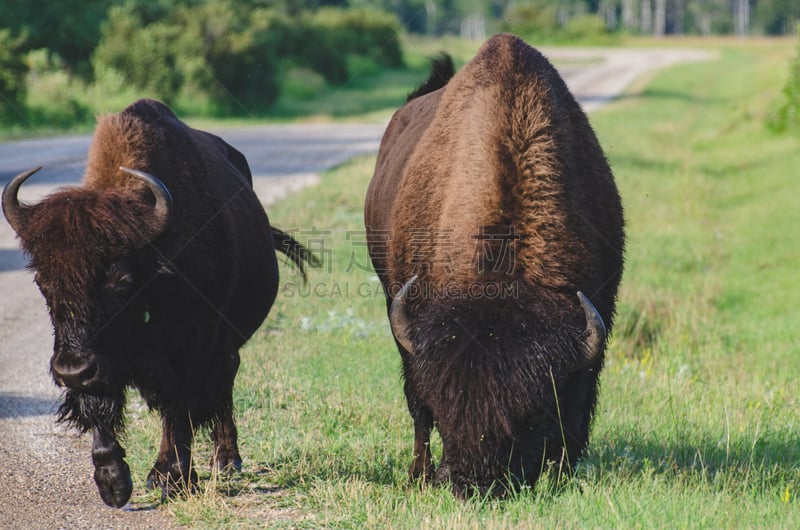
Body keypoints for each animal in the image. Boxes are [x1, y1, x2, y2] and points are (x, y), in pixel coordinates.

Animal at [3, 97, 316, 506]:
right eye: (43, 281)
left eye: (121, 281)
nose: (72, 370)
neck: (155, 266)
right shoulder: (110, 363)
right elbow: (104, 409)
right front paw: (114, 483)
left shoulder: (195, 346)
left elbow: (180, 405)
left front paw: (173, 476)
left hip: (226, 343)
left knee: (222, 385)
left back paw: (224, 460)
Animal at [364, 34, 624, 496]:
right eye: (446, 402)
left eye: (531, 413)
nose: (473, 482)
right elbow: (418, 403)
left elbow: (576, 412)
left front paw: (560, 475)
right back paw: (418, 473)